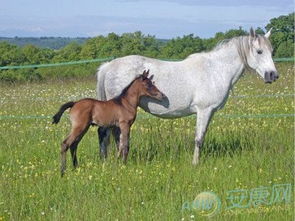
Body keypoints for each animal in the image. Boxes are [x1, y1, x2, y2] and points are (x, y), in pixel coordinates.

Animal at [96, 28, 278, 164]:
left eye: (272, 51)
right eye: (259, 51)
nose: (273, 75)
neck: (216, 69)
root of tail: (109, 66)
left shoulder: (210, 112)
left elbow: (202, 137)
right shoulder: (204, 110)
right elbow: (198, 138)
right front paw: (195, 163)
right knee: (114, 135)